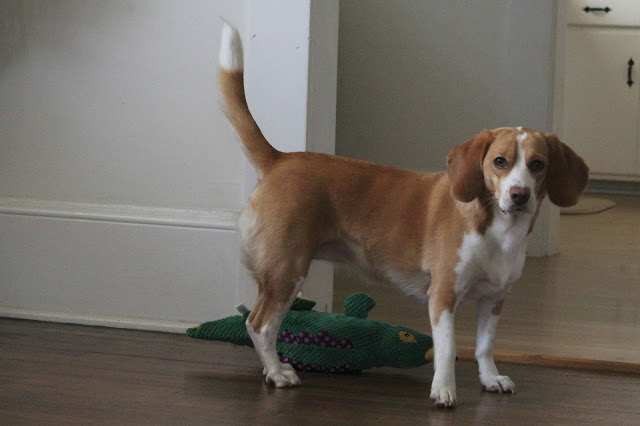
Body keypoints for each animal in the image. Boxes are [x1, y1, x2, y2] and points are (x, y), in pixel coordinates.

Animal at [218, 22, 588, 407]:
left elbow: (485, 347)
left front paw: (489, 379)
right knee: (259, 325)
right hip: (286, 271)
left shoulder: (494, 300)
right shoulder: (442, 297)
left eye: (538, 164)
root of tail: (279, 159)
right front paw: (444, 390)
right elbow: (447, 349)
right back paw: (277, 372)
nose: (519, 195)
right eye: (500, 161)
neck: (498, 232)